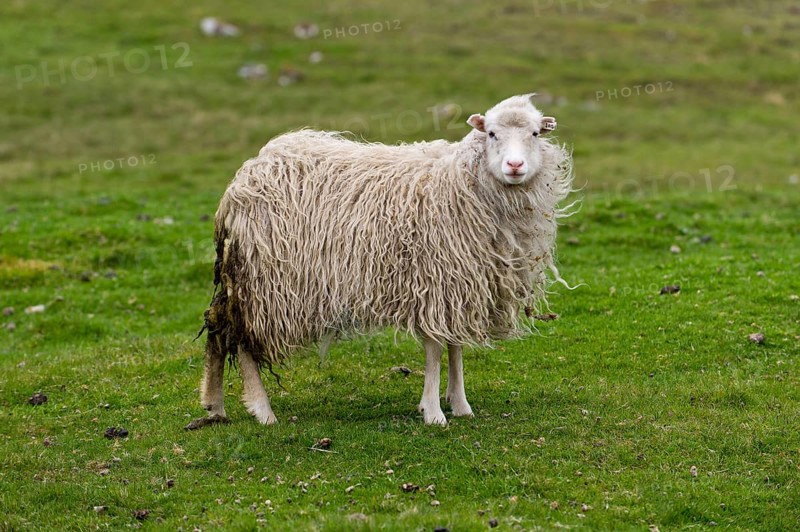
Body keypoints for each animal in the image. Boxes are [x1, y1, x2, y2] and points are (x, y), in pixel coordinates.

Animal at [186, 94, 573, 429]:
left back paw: (214, 404)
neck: (460, 180)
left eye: (535, 133)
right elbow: (435, 349)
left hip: (243, 277)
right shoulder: (433, 278)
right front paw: (433, 411)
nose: (515, 165)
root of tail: (246, 176)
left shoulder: (459, 282)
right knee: (241, 338)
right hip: (266, 282)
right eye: (491, 133)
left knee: (217, 324)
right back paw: (262, 409)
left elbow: (455, 346)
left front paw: (460, 403)